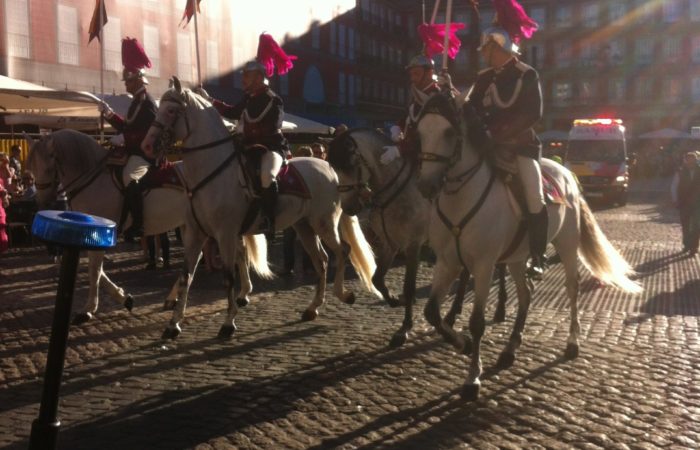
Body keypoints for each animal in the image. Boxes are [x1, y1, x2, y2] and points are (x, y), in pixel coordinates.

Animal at [26, 130, 264, 324]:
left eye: (50, 161)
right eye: (32, 166)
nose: (43, 201)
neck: (95, 179)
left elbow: (94, 270)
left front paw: (88, 309)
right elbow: (98, 271)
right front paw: (124, 298)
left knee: (232, 253)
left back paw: (240, 293)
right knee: (227, 254)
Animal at [412, 92, 644, 400]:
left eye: (449, 132)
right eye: (419, 132)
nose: (426, 186)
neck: (461, 197)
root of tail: (566, 172)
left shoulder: (484, 265)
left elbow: (477, 322)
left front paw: (473, 378)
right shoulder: (447, 262)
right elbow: (432, 312)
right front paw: (463, 344)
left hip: (566, 244)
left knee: (572, 288)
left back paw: (572, 342)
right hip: (515, 258)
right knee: (526, 293)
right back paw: (510, 349)